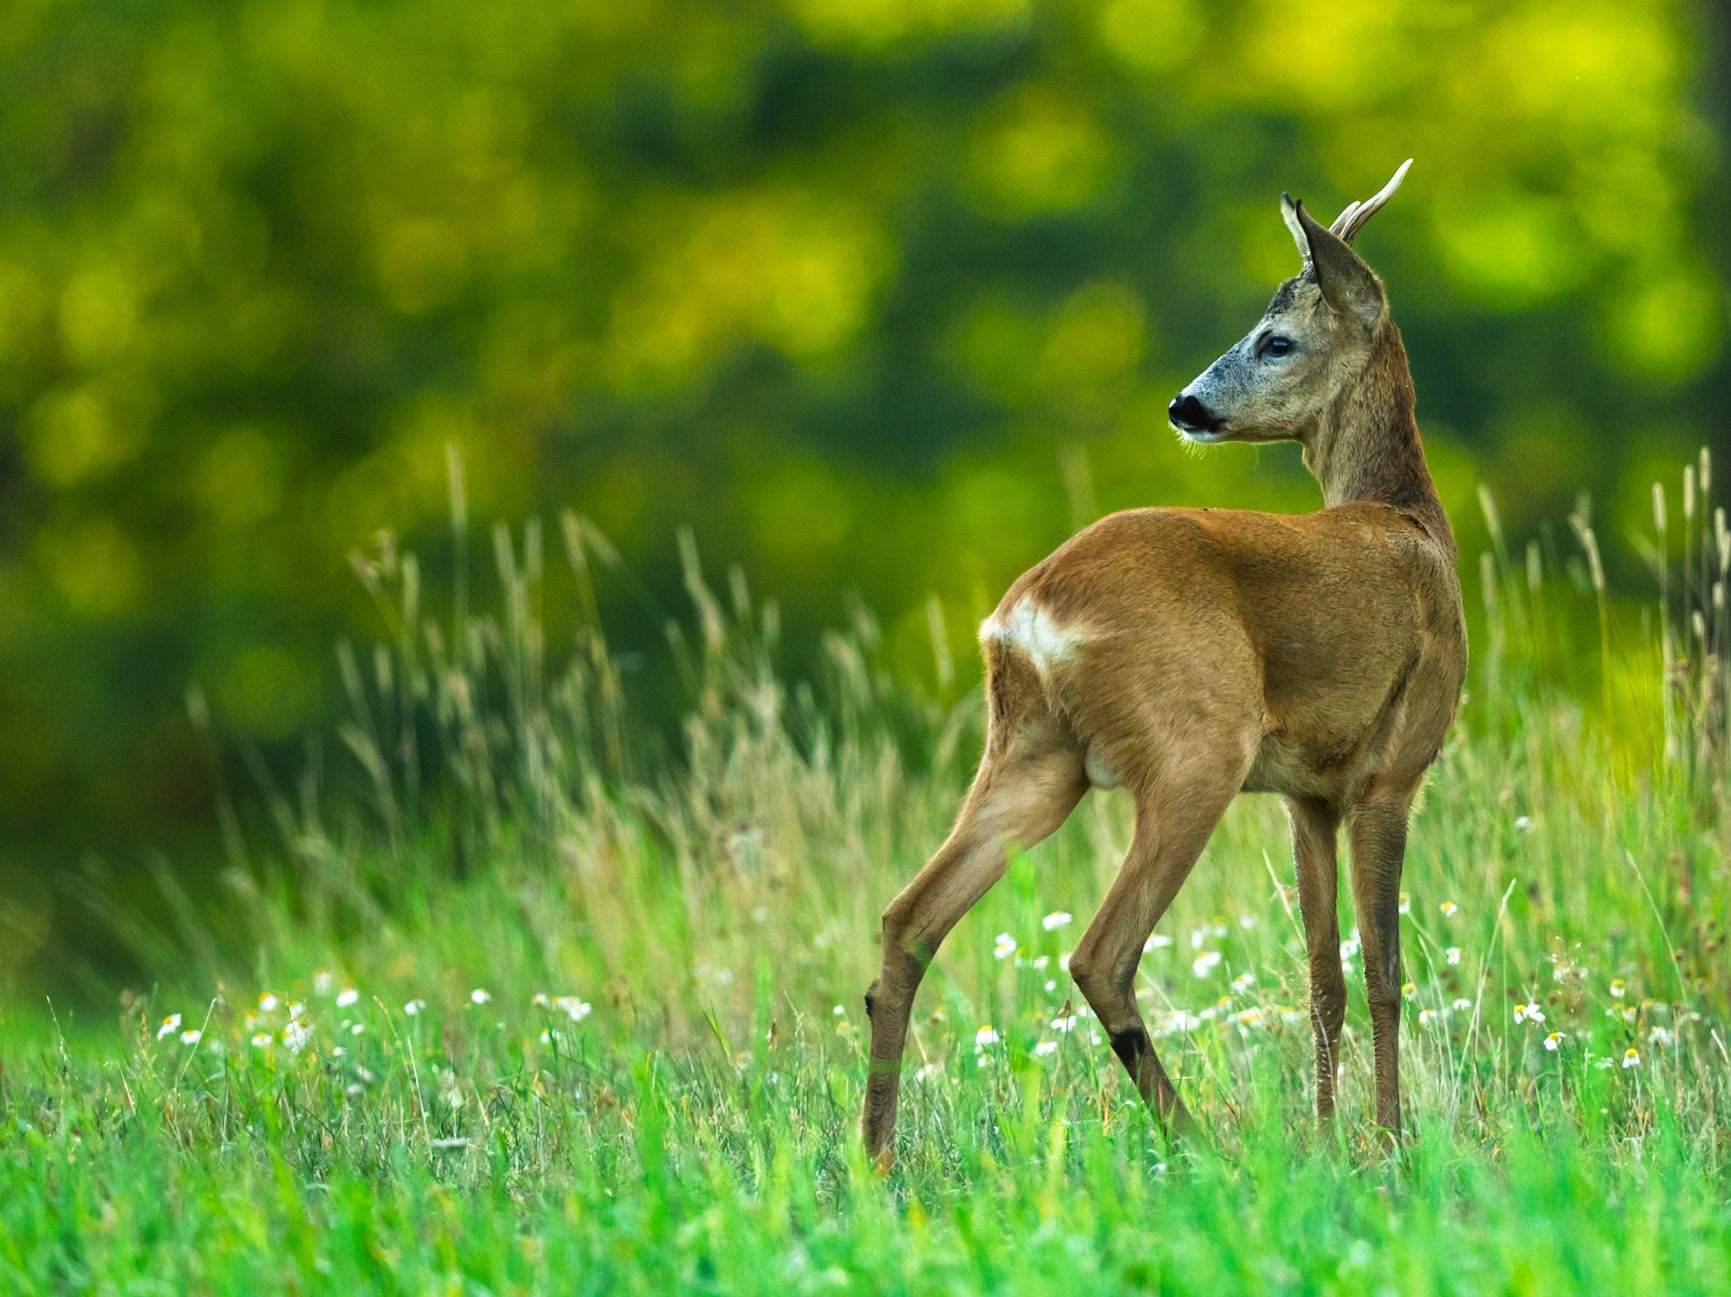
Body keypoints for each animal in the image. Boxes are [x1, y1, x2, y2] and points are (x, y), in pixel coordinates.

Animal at [861, 160, 1465, 1163]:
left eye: (1275, 340)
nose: (1185, 405)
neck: (1412, 522)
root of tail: (1025, 612)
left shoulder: (1307, 793)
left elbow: (1323, 976)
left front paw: (1329, 1140)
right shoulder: (1392, 766)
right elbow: (1384, 969)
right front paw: (1387, 1141)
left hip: (1030, 753)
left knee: (907, 917)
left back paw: (873, 1155)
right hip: (1195, 747)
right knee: (1098, 952)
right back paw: (1198, 1143)